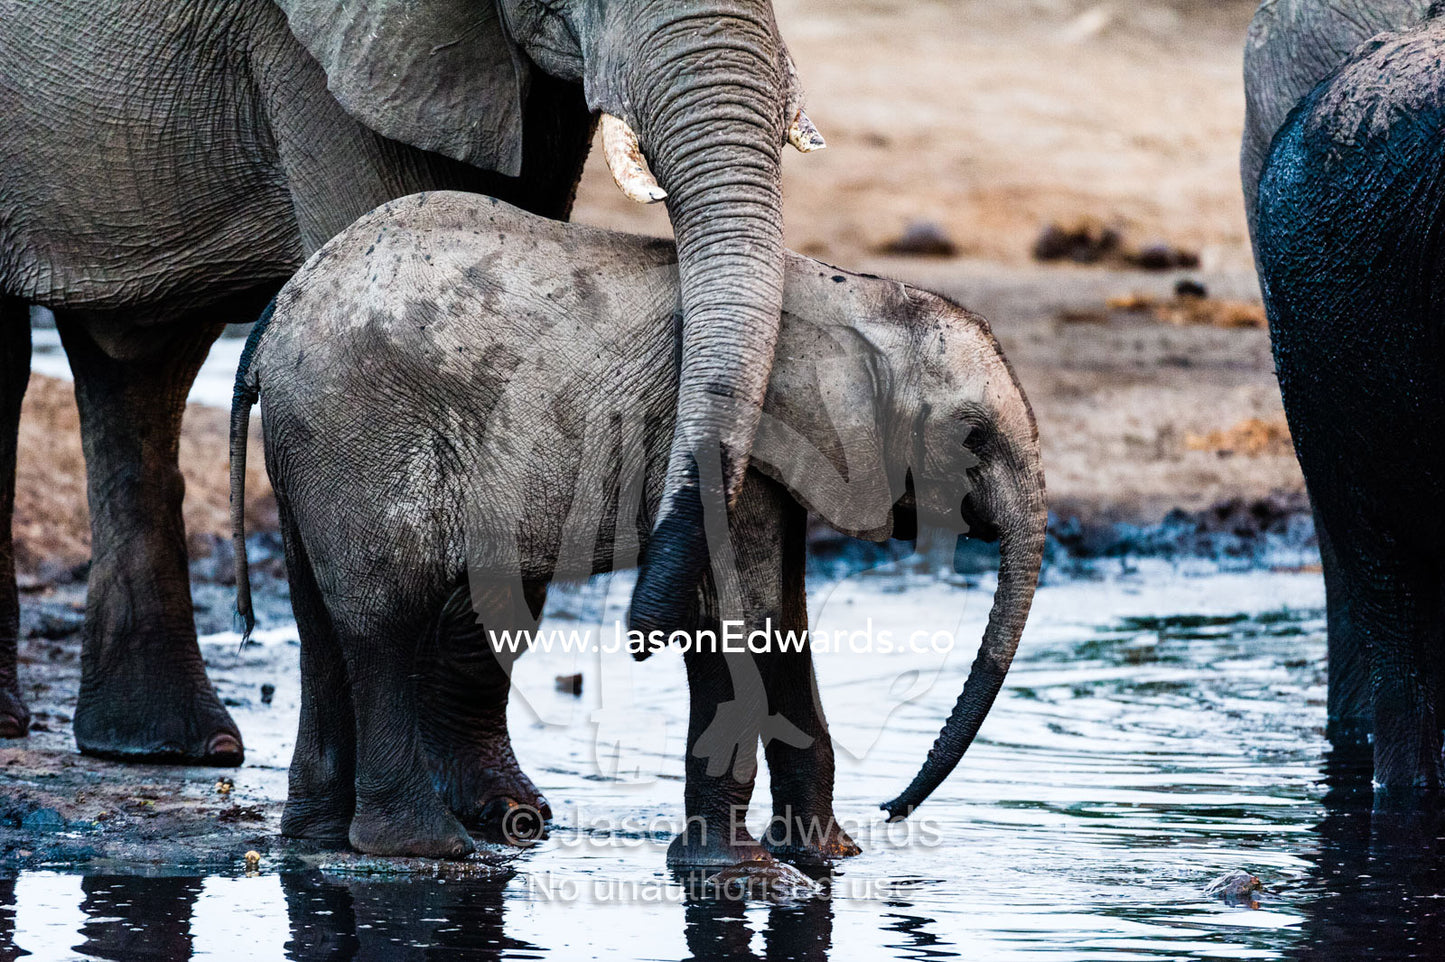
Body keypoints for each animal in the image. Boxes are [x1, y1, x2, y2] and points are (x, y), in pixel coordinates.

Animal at [227, 192, 1048, 861]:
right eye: (973, 437)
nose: (892, 809)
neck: (861, 296)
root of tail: (273, 322)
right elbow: (734, 624)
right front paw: (739, 870)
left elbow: (783, 623)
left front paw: (828, 858)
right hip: (360, 436)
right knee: (384, 620)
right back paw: (426, 848)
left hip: (313, 449)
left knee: (320, 623)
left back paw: (317, 839)